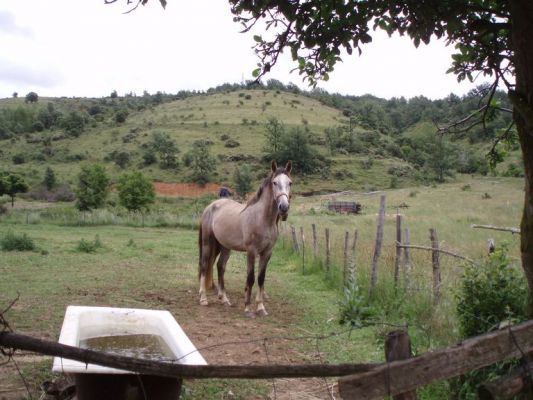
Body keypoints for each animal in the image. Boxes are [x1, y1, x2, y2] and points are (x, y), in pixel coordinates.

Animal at [198, 159, 294, 316]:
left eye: (290, 182)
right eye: (274, 182)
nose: (284, 207)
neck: (262, 219)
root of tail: (210, 206)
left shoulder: (267, 252)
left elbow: (261, 278)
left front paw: (261, 308)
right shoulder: (251, 251)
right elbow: (250, 278)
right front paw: (248, 308)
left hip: (225, 246)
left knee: (220, 266)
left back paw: (224, 299)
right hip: (207, 243)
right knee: (204, 266)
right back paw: (203, 299)